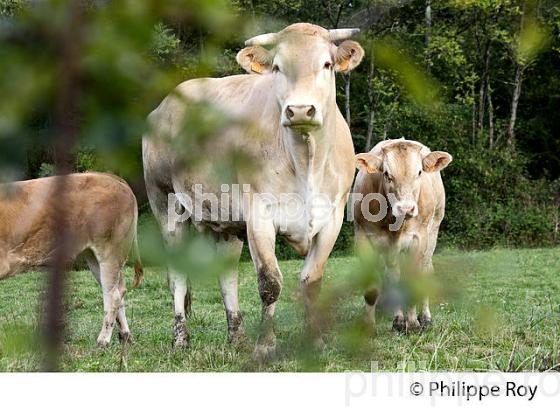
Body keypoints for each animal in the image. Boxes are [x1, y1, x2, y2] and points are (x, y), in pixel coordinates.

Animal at [0, 172, 143, 346]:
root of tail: (111, 177)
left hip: (109, 250)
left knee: (113, 295)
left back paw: (103, 340)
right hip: (95, 256)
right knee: (118, 290)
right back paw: (125, 336)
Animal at [354, 139, 450, 332]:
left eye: (419, 172)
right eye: (386, 173)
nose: (406, 208)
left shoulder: (418, 239)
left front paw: (412, 324)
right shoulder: (363, 238)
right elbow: (372, 287)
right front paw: (370, 326)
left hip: (432, 233)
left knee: (426, 271)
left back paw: (425, 318)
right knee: (392, 276)